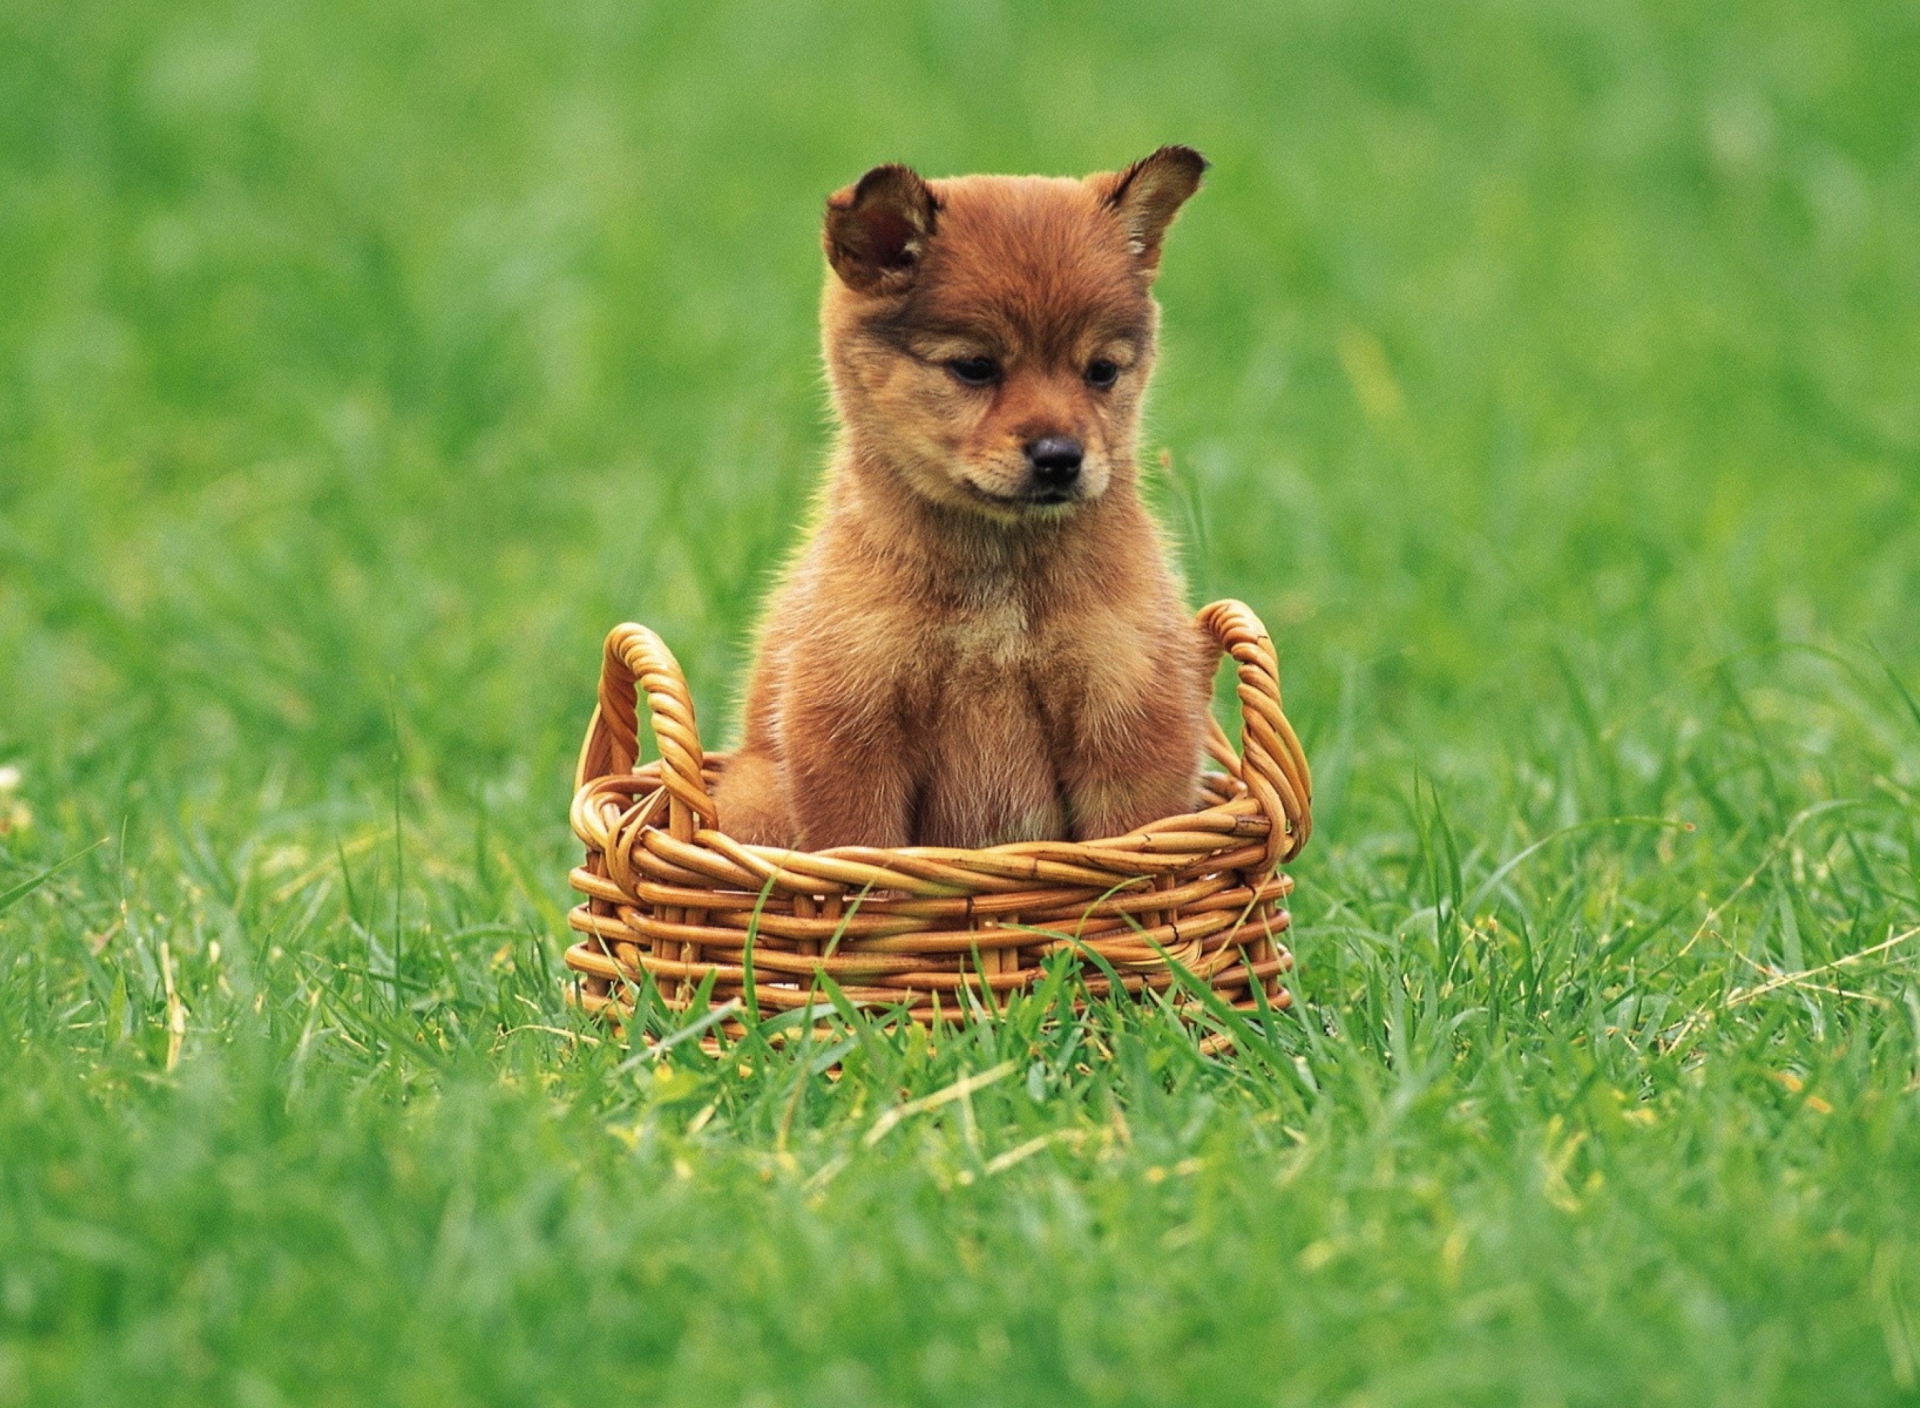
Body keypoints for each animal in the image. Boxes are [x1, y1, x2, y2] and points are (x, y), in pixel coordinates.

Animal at [721, 145, 1213, 845]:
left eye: (1102, 371)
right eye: (975, 367)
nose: (1061, 457)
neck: (996, 581)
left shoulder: (1129, 714)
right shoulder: (849, 723)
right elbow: (861, 853)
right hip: (755, 797)